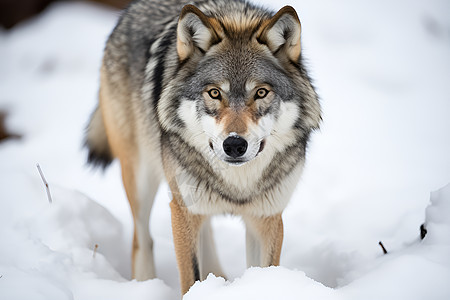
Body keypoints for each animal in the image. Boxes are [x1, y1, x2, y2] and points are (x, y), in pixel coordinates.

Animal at [84, 0, 322, 296]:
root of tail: (131, 9)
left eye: (261, 93)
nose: (234, 144)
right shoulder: (182, 211)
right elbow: (189, 278)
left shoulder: (266, 218)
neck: (237, 186)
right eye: (214, 93)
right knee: (142, 239)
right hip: (141, 180)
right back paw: (145, 285)